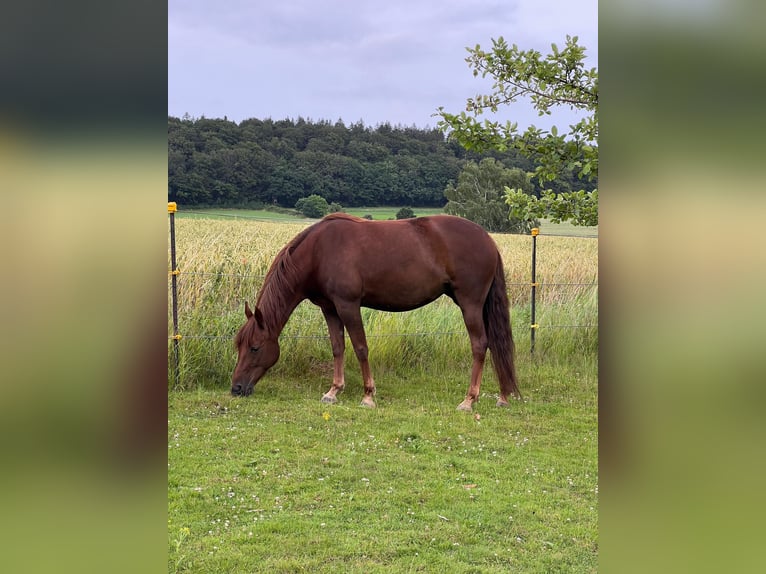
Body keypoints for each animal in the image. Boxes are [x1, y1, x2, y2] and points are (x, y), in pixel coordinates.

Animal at [232, 214, 520, 412]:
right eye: (239, 347)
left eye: (255, 348)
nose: (236, 388)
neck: (319, 251)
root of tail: (488, 240)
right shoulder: (329, 308)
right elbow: (337, 347)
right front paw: (333, 391)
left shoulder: (348, 305)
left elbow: (360, 348)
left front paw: (368, 395)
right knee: (495, 345)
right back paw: (503, 396)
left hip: (470, 304)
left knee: (479, 345)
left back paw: (469, 400)